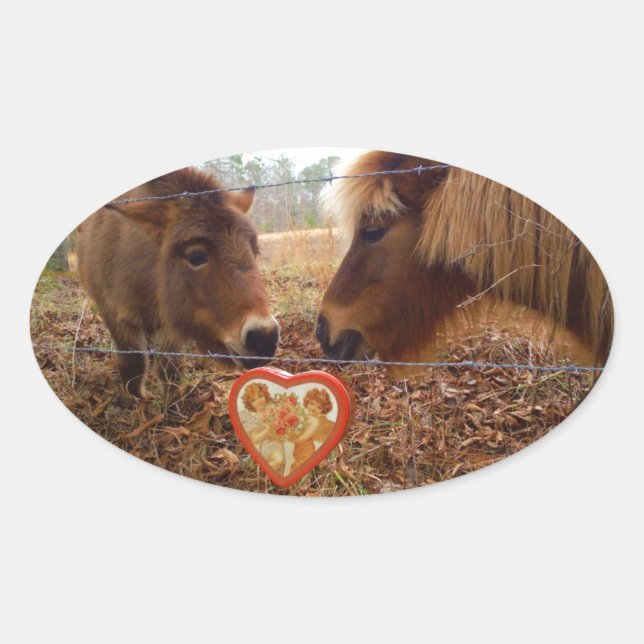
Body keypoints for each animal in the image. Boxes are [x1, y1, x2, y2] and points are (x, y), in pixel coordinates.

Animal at [78, 167, 279, 398]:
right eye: (196, 256)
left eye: (255, 251)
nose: (264, 338)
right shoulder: (113, 314)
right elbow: (133, 364)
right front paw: (137, 399)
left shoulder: (169, 322)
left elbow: (169, 367)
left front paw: (173, 399)